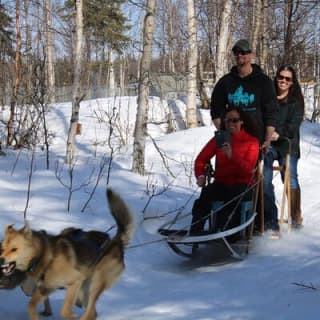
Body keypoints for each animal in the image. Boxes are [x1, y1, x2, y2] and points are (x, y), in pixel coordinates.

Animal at [0, 189, 134, 320]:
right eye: (2, 249)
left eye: (14, 249)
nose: (1, 260)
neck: (46, 257)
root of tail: (116, 242)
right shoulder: (47, 287)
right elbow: (31, 305)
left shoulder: (75, 280)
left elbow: (64, 311)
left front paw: (71, 315)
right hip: (84, 291)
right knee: (93, 313)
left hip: (94, 285)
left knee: (90, 313)